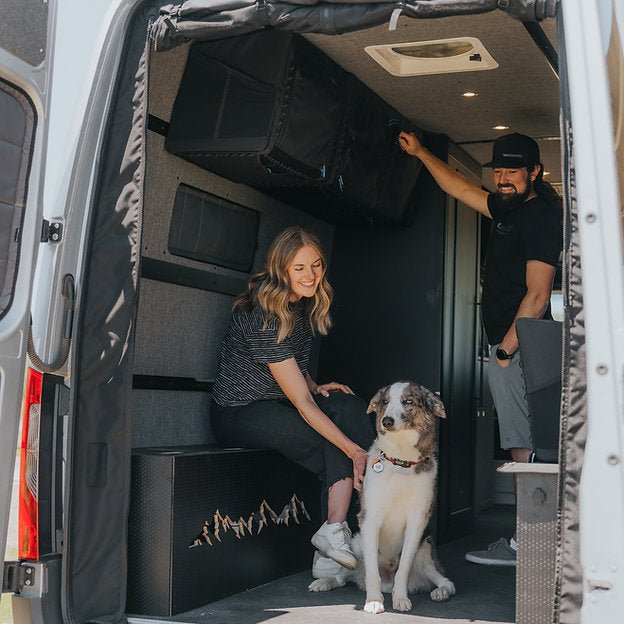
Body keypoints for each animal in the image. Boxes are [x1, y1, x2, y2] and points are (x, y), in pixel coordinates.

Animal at [310, 380, 456, 616]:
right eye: (385, 402)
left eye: (408, 401)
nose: (386, 421)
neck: (401, 461)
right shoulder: (370, 519)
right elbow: (372, 574)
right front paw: (373, 601)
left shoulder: (417, 522)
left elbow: (403, 568)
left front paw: (400, 599)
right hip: (357, 544)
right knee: (343, 576)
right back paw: (324, 582)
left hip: (424, 553)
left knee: (445, 581)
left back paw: (440, 592)